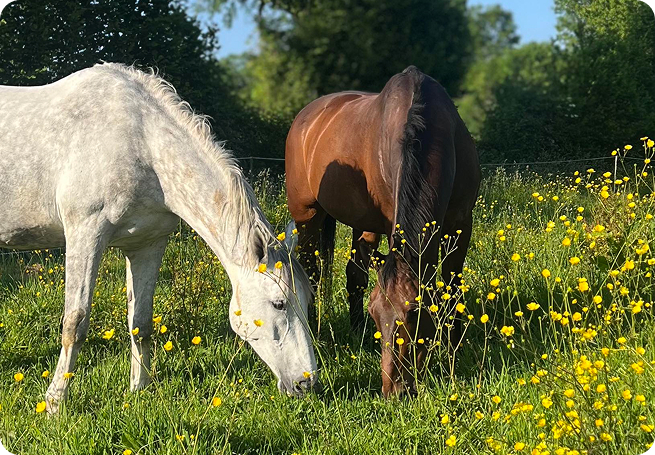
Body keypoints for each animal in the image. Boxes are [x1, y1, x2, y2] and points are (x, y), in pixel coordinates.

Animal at [0, 63, 317, 413]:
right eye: (279, 303)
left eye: (307, 300)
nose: (307, 382)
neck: (140, 143)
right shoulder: (85, 234)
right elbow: (75, 323)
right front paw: (55, 403)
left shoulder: (146, 244)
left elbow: (140, 322)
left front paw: (140, 389)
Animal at [285, 66, 480, 396]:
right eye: (378, 316)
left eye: (414, 315)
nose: (394, 390)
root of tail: (306, 117)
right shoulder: (394, 224)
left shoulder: (460, 225)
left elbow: (453, 289)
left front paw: (455, 348)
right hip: (308, 215)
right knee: (310, 271)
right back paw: (312, 330)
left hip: (361, 223)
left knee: (354, 273)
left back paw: (355, 331)